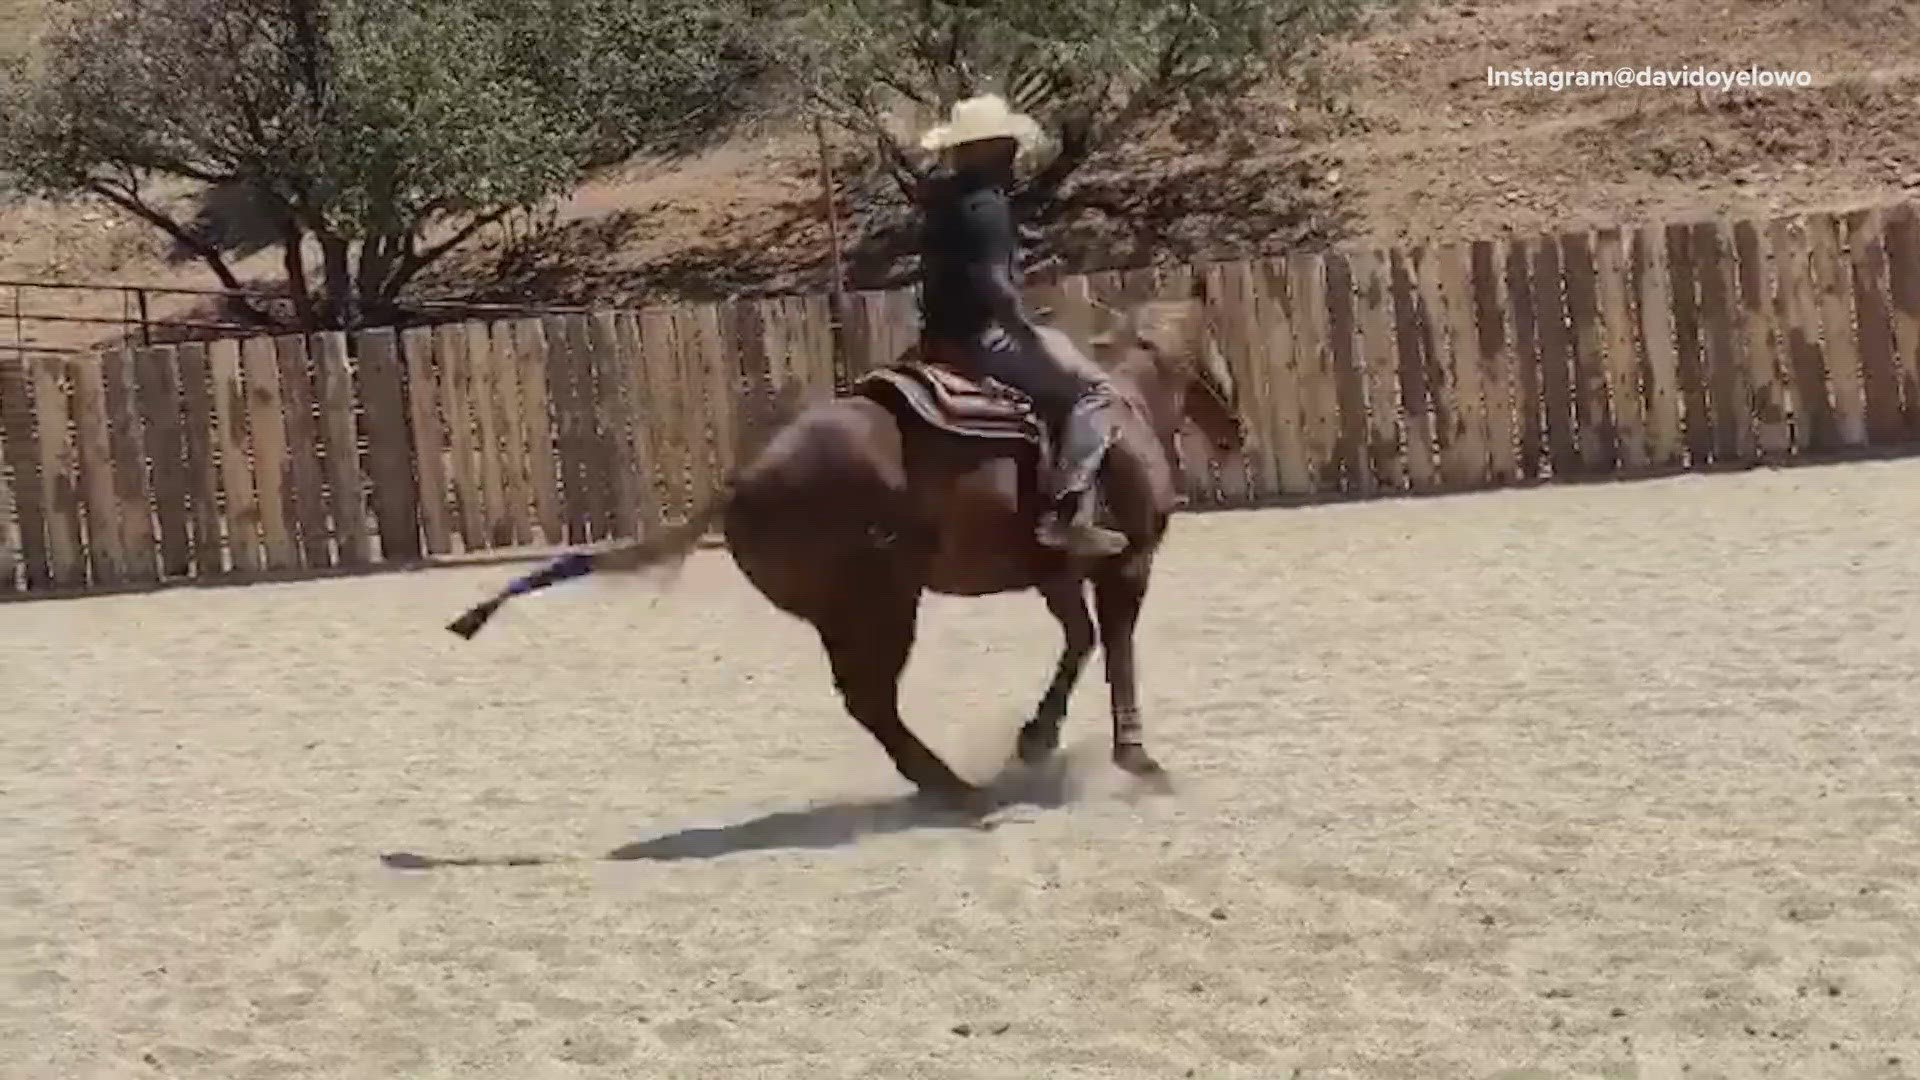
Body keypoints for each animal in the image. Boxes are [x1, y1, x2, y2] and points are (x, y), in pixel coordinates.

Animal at [443, 294, 1251, 807]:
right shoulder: (1128, 562)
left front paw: (1038, 737)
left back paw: (948, 784)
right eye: (1222, 352)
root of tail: (741, 485)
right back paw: (953, 790)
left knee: (868, 704)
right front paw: (1137, 760)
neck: (1125, 405)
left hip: (851, 617)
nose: (1237, 431)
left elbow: (1080, 641)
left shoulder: (1056, 572)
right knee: (872, 700)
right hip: (883, 606)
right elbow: (1117, 649)